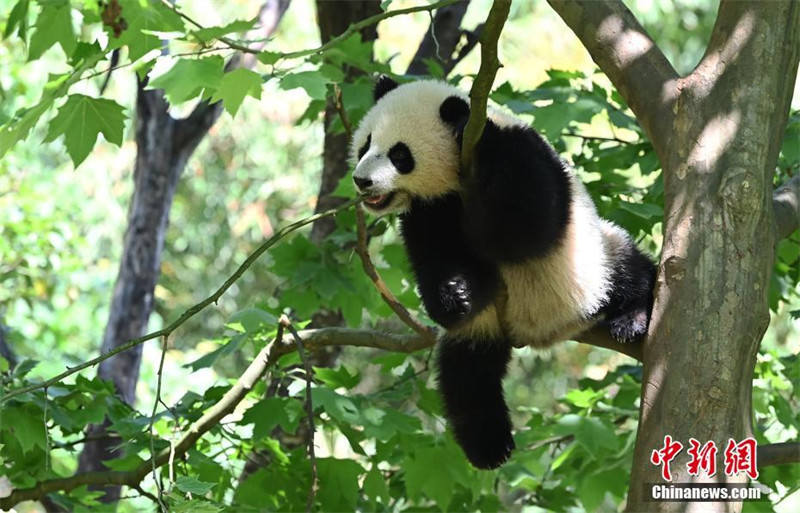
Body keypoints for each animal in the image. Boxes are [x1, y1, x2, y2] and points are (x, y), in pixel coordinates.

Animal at [352, 76, 656, 468]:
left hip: (592, 262)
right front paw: (455, 294)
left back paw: (632, 318)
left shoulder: (523, 156)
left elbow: (521, 230)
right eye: (365, 144)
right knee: (467, 374)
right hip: (484, 327)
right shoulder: (428, 211)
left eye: (399, 155)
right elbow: (439, 257)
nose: (362, 180)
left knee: (629, 270)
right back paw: (489, 446)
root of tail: (546, 332)